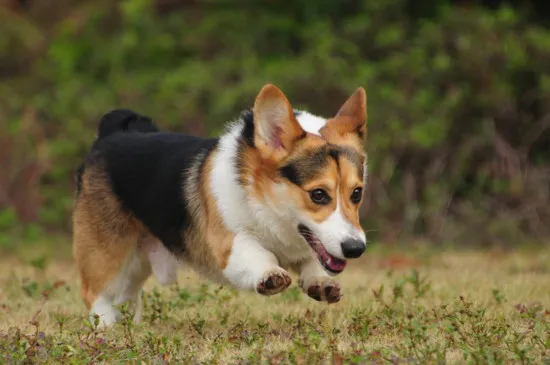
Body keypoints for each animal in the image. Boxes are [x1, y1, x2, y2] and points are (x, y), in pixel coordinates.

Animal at [72, 84, 366, 326]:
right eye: (318, 194)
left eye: (356, 193)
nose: (356, 249)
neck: (264, 201)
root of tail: (111, 133)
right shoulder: (228, 242)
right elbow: (257, 254)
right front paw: (269, 274)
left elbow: (312, 261)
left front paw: (321, 282)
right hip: (107, 254)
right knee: (95, 293)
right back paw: (107, 327)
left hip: (136, 263)